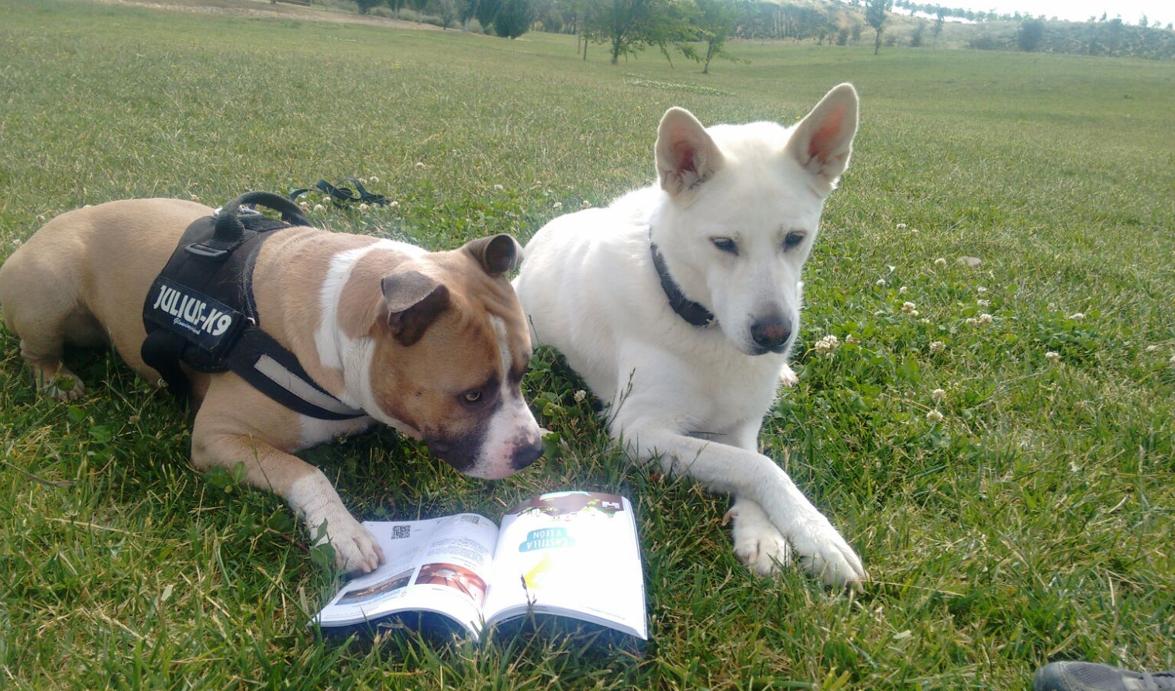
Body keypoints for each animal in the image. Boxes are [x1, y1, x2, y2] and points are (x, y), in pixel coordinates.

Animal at [0, 199, 540, 571]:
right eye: (472, 395)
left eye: (522, 373)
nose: (533, 449)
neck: (338, 318)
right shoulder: (218, 436)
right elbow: (305, 472)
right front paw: (342, 531)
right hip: (51, 285)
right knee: (35, 348)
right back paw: (55, 379)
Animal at [519, 83, 869, 585]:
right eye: (723, 244)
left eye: (794, 238)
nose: (774, 336)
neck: (702, 322)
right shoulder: (637, 430)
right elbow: (757, 465)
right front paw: (815, 533)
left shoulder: (740, 419)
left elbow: (748, 457)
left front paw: (762, 533)